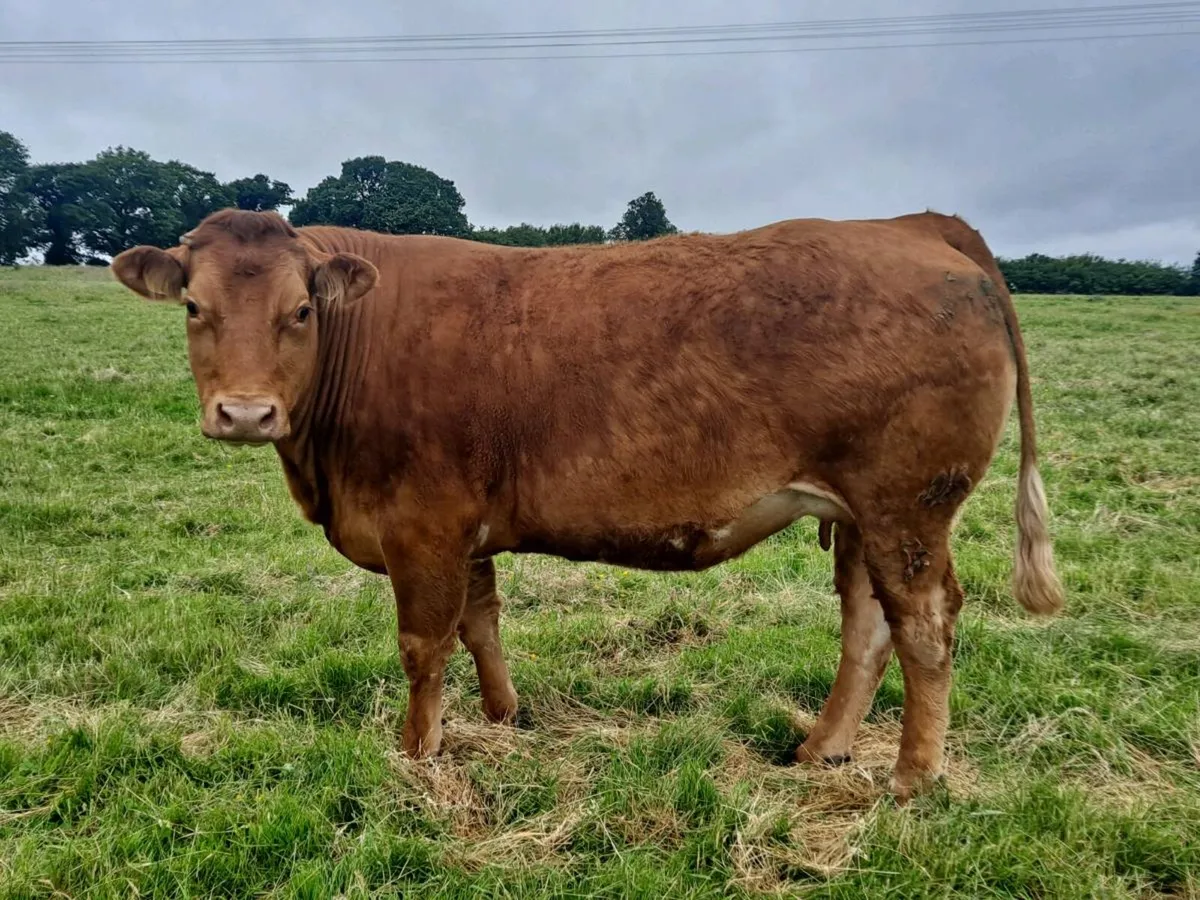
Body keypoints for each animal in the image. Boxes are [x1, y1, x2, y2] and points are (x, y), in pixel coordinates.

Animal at [110, 207, 1064, 801]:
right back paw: (821, 749)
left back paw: (911, 780)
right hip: (863, 518)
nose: (244, 414)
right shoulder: (466, 529)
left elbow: (424, 648)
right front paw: (505, 719)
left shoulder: (422, 527)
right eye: (193, 306)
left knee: (925, 625)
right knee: (867, 625)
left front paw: (418, 756)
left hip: (907, 508)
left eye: (301, 310)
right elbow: (481, 624)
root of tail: (915, 226)